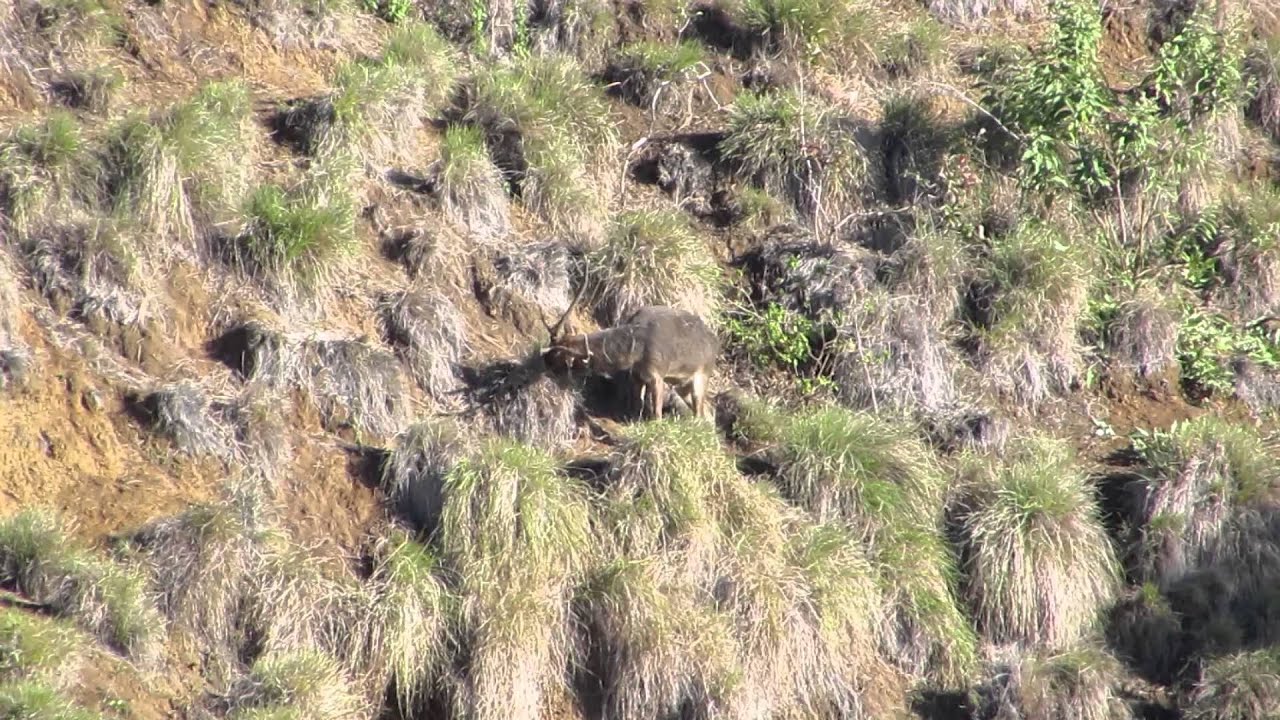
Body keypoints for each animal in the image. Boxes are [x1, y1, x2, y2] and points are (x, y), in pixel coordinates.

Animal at [540, 287, 720, 422]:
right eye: (551, 345)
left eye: (557, 356)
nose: (544, 359)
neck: (634, 353)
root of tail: (715, 342)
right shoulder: (636, 376)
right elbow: (637, 405)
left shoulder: (657, 372)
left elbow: (657, 413)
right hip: (683, 384)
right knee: (708, 412)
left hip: (702, 374)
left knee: (700, 412)